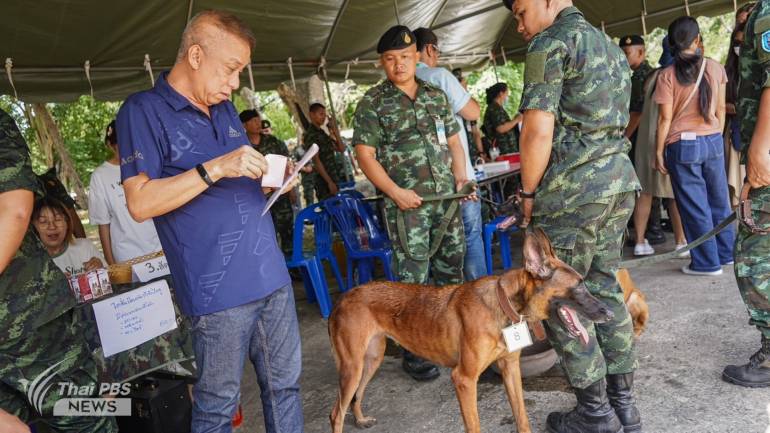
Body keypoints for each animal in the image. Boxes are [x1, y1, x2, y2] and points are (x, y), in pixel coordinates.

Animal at [328, 228, 616, 430]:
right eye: (579, 285)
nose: (610, 313)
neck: (503, 305)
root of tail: (343, 298)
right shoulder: (464, 380)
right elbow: (474, 425)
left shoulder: (510, 368)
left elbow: (521, 416)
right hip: (352, 367)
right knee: (336, 414)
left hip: (371, 360)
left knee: (355, 397)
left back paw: (361, 419)